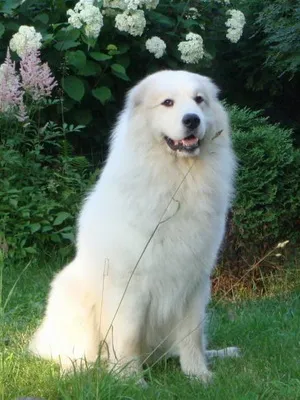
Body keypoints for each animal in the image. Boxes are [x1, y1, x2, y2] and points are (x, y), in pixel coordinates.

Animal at [29, 70, 238, 382]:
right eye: (168, 102)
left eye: (199, 100)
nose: (192, 119)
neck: (177, 180)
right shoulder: (130, 283)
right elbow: (127, 334)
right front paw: (130, 380)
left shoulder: (194, 282)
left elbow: (192, 336)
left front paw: (198, 376)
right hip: (70, 294)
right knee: (75, 355)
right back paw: (73, 372)